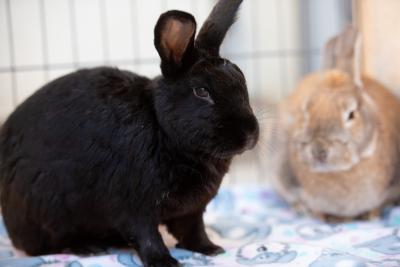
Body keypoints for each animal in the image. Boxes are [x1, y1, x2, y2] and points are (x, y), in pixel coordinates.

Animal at [0, 0, 258, 267]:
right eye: (202, 91)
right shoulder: (135, 207)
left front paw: (211, 249)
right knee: (46, 245)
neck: (163, 129)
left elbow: (193, 231)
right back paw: (86, 248)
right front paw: (164, 262)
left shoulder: (191, 211)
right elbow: (148, 236)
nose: (249, 134)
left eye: (242, 81)